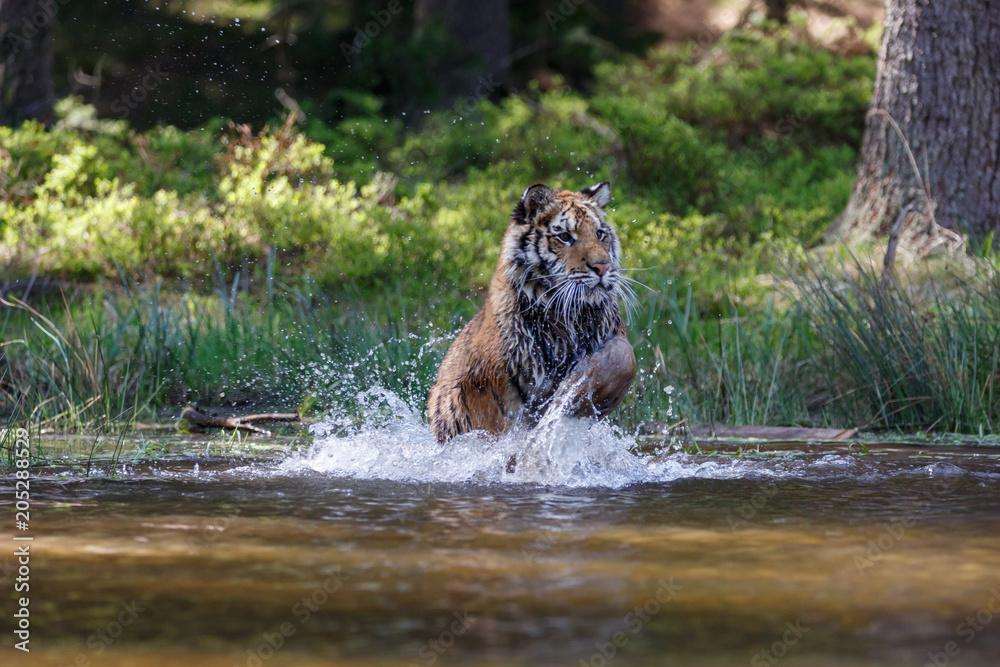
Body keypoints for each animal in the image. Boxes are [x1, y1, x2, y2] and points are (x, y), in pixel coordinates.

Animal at [427, 181, 636, 443]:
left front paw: (576, 396)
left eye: (600, 234)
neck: (569, 317)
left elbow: (624, 356)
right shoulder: (480, 383)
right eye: (565, 237)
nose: (603, 266)